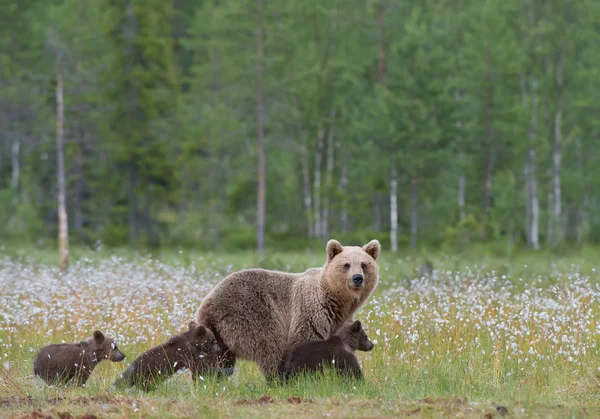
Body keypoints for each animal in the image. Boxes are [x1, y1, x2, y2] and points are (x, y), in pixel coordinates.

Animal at [197, 240, 380, 380]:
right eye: (346, 264)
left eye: (364, 264)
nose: (357, 278)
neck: (334, 300)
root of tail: (209, 300)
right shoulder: (310, 311)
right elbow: (305, 340)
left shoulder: (338, 320)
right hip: (250, 311)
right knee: (269, 344)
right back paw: (278, 378)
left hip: (217, 332)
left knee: (218, 356)